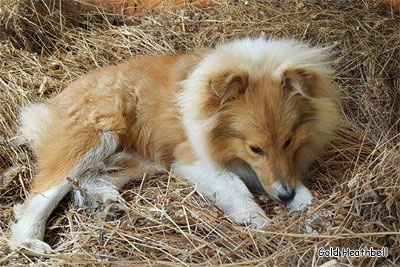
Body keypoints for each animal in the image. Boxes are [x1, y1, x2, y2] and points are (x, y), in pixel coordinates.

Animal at [9, 37, 340, 253]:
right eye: (255, 148)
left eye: (288, 141)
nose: (284, 197)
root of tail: (51, 101)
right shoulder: (196, 160)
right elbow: (237, 191)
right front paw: (266, 225)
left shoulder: (272, 169)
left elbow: (303, 193)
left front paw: (315, 218)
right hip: (95, 138)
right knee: (40, 196)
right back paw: (29, 242)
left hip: (146, 159)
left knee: (93, 178)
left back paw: (107, 205)